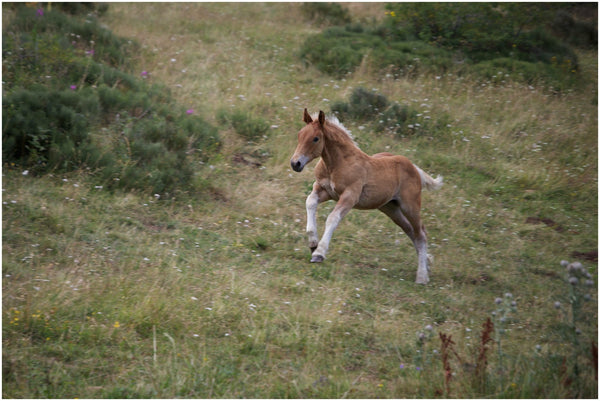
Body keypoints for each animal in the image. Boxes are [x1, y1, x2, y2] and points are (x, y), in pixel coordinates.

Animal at [290, 109, 440, 282]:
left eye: (316, 138)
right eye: (299, 134)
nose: (295, 163)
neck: (337, 164)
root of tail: (414, 168)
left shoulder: (350, 196)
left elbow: (332, 218)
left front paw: (319, 253)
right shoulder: (324, 190)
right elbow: (310, 202)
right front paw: (313, 243)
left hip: (410, 206)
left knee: (421, 233)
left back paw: (422, 276)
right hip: (390, 208)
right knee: (410, 231)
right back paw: (427, 263)